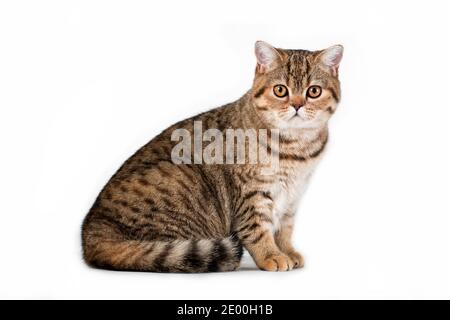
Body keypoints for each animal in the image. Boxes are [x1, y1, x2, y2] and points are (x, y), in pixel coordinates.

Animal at [81, 40, 342, 272]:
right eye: (280, 90)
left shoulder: (292, 196)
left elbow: (284, 230)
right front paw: (271, 255)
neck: (296, 147)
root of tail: (90, 233)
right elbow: (258, 230)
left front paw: (287, 251)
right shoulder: (252, 195)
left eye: (314, 91)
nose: (297, 105)